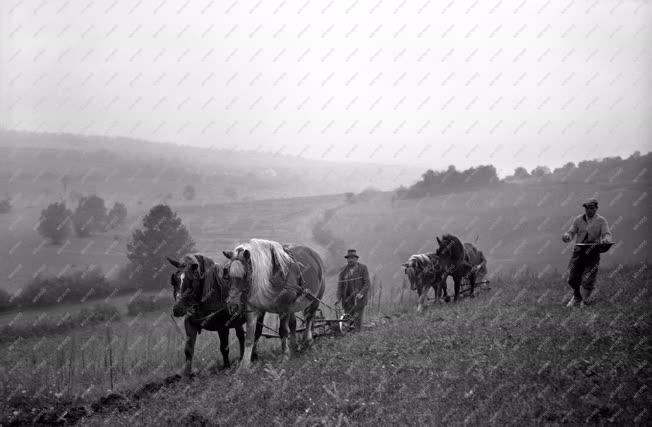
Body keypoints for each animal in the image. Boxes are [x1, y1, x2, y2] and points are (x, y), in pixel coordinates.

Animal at [224, 239, 326, 370]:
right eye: (227, 275)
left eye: (245, 274)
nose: (233, 305)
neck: (270, 276)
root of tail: (315, 255)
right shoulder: (253, 308)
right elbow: (250, 337)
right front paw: (244, 365)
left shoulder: (284, 307)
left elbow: (283, 331)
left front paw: (285, 356)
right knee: (293, 324)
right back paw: (294, 346)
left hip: (316, 299)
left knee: (309, 319)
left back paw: (309, 341)